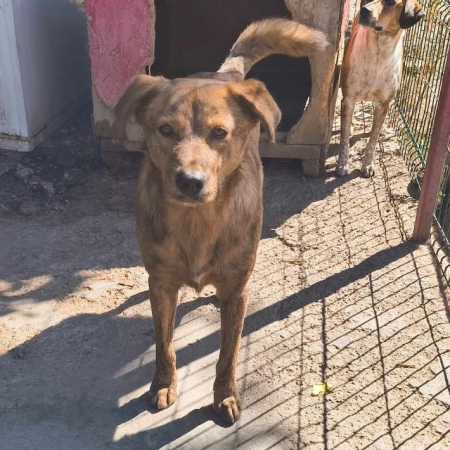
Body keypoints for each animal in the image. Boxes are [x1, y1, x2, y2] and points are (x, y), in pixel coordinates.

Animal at [115, 19, 326, 423]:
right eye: (165, 130)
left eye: (219, 133)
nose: (189, 181)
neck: (197, 222)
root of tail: (222, 73)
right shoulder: (160, 284)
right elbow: (164, 342)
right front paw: (164, 383)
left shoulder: (237, 290)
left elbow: (228, 353)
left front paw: (224, 395)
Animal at [336, 0, 424, 177]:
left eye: (390, 2)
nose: (365, 10)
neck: (379, 51)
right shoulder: (348, 99)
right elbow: (343, 139)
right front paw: (342, 164)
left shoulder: (384, 104)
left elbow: (374, 139)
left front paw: (368, 164)